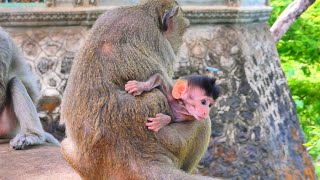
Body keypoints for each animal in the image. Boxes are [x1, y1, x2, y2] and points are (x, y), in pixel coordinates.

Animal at [61, 0, 218, 179]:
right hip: (176, 142)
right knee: (203, 122)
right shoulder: (162, 45)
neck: (144, 9)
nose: (180, 42)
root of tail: (134, 155)